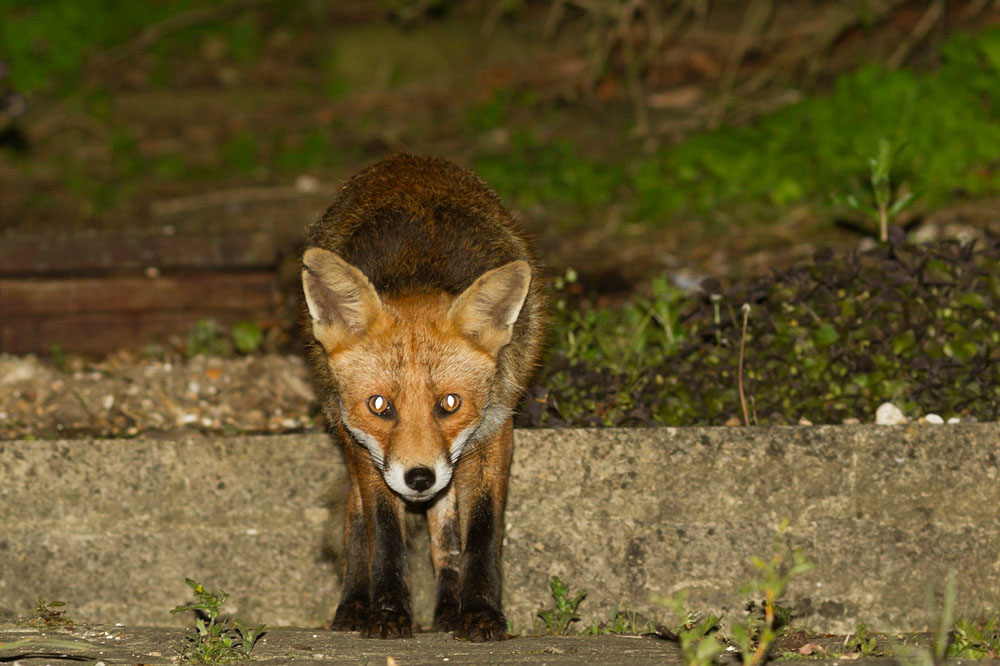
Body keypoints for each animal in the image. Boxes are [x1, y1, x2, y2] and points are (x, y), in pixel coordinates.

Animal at [300, 154, 547, 642]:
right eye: (380, 406)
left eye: (449, 404)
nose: (418, 478)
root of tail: (404, 160)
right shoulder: (367, 450)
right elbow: (383, 534)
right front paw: (388, 612)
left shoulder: (495, 432)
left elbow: (481, 533)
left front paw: (480, 611)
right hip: (349, 438)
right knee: (356, 525)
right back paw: (354, 605)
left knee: (445, 536)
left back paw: (449, 609)